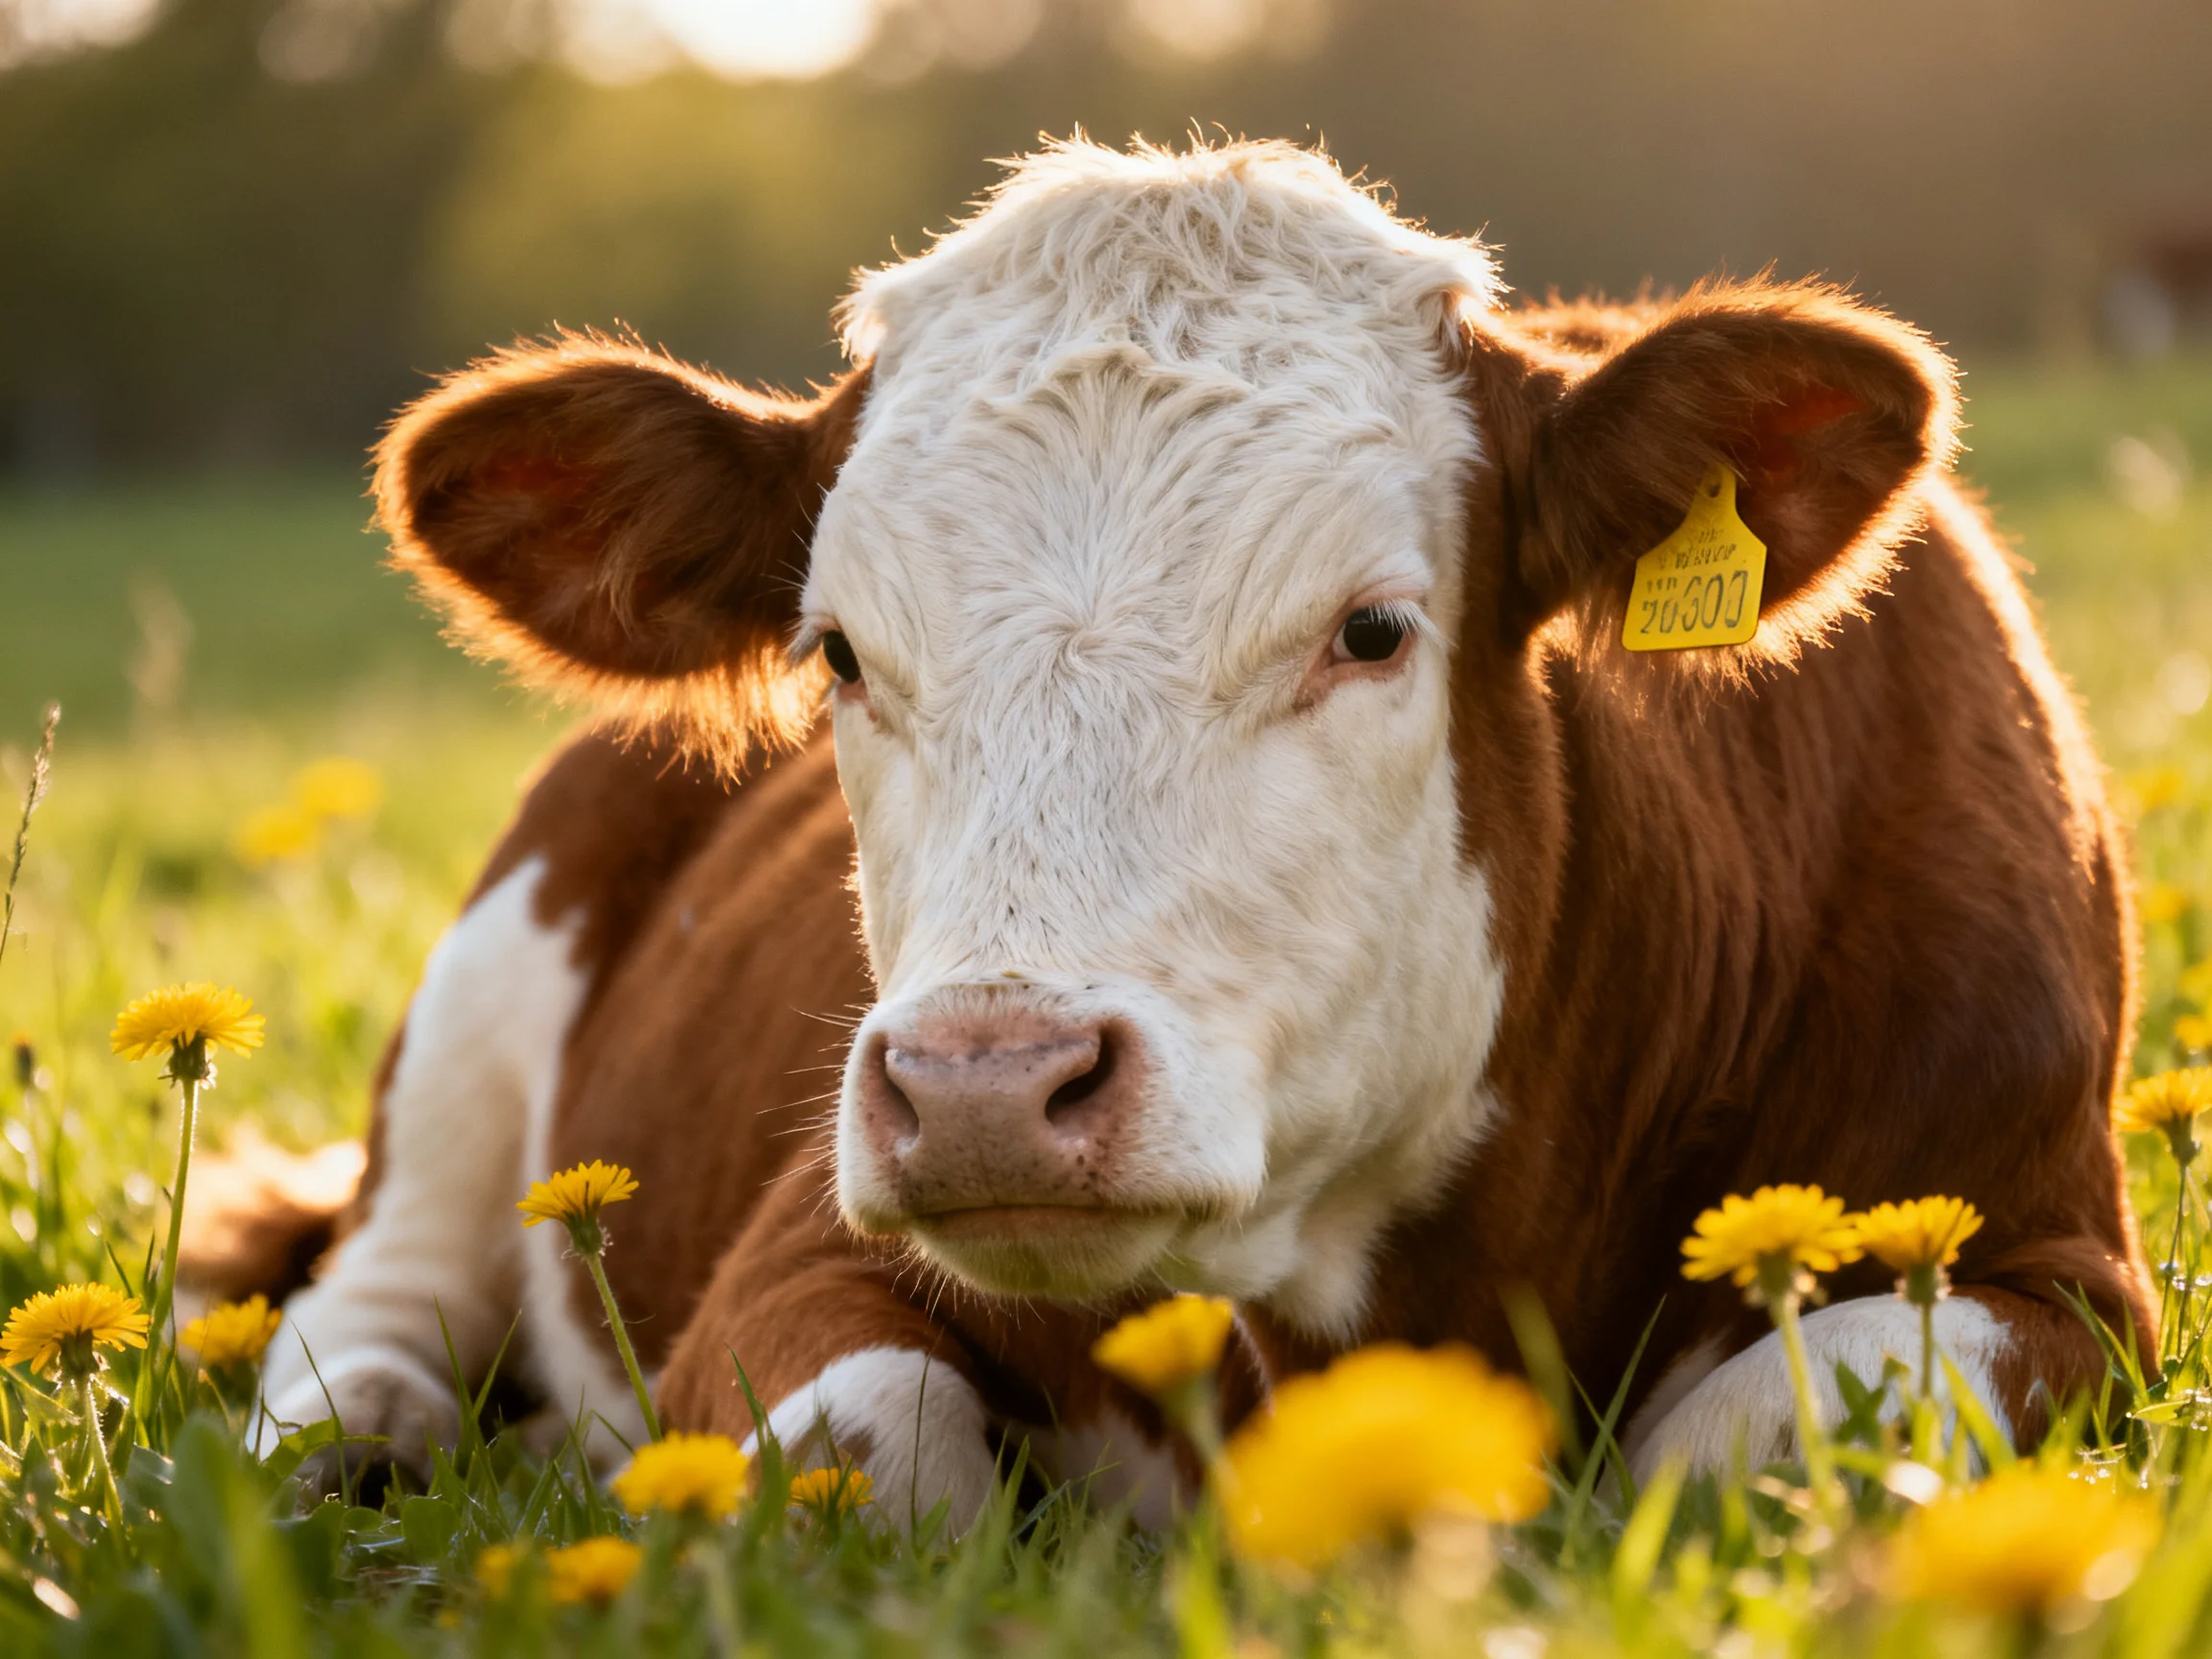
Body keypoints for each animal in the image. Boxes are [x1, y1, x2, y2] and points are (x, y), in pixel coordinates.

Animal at [235, 137, 2155, 1520]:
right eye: (836, 649)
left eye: (1370, 630)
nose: (986, 1086)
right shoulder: (791, 1251)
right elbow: (872, 1440)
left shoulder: (2063, 1269)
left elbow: (1769, 1426)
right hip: (490, 983)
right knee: (369, 1292)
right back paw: (353, 1437)